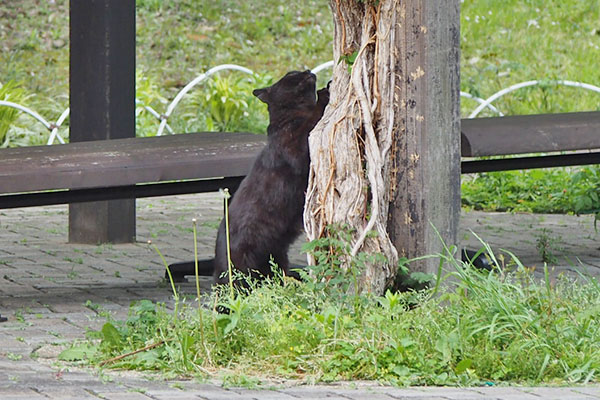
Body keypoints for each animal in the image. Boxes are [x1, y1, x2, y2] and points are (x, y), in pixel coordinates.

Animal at [213, 70, 330, 286]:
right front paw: (324, 93)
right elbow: (311, 121)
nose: (308, 71)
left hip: (276, 259)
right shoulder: (297, 147)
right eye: (292, 75)